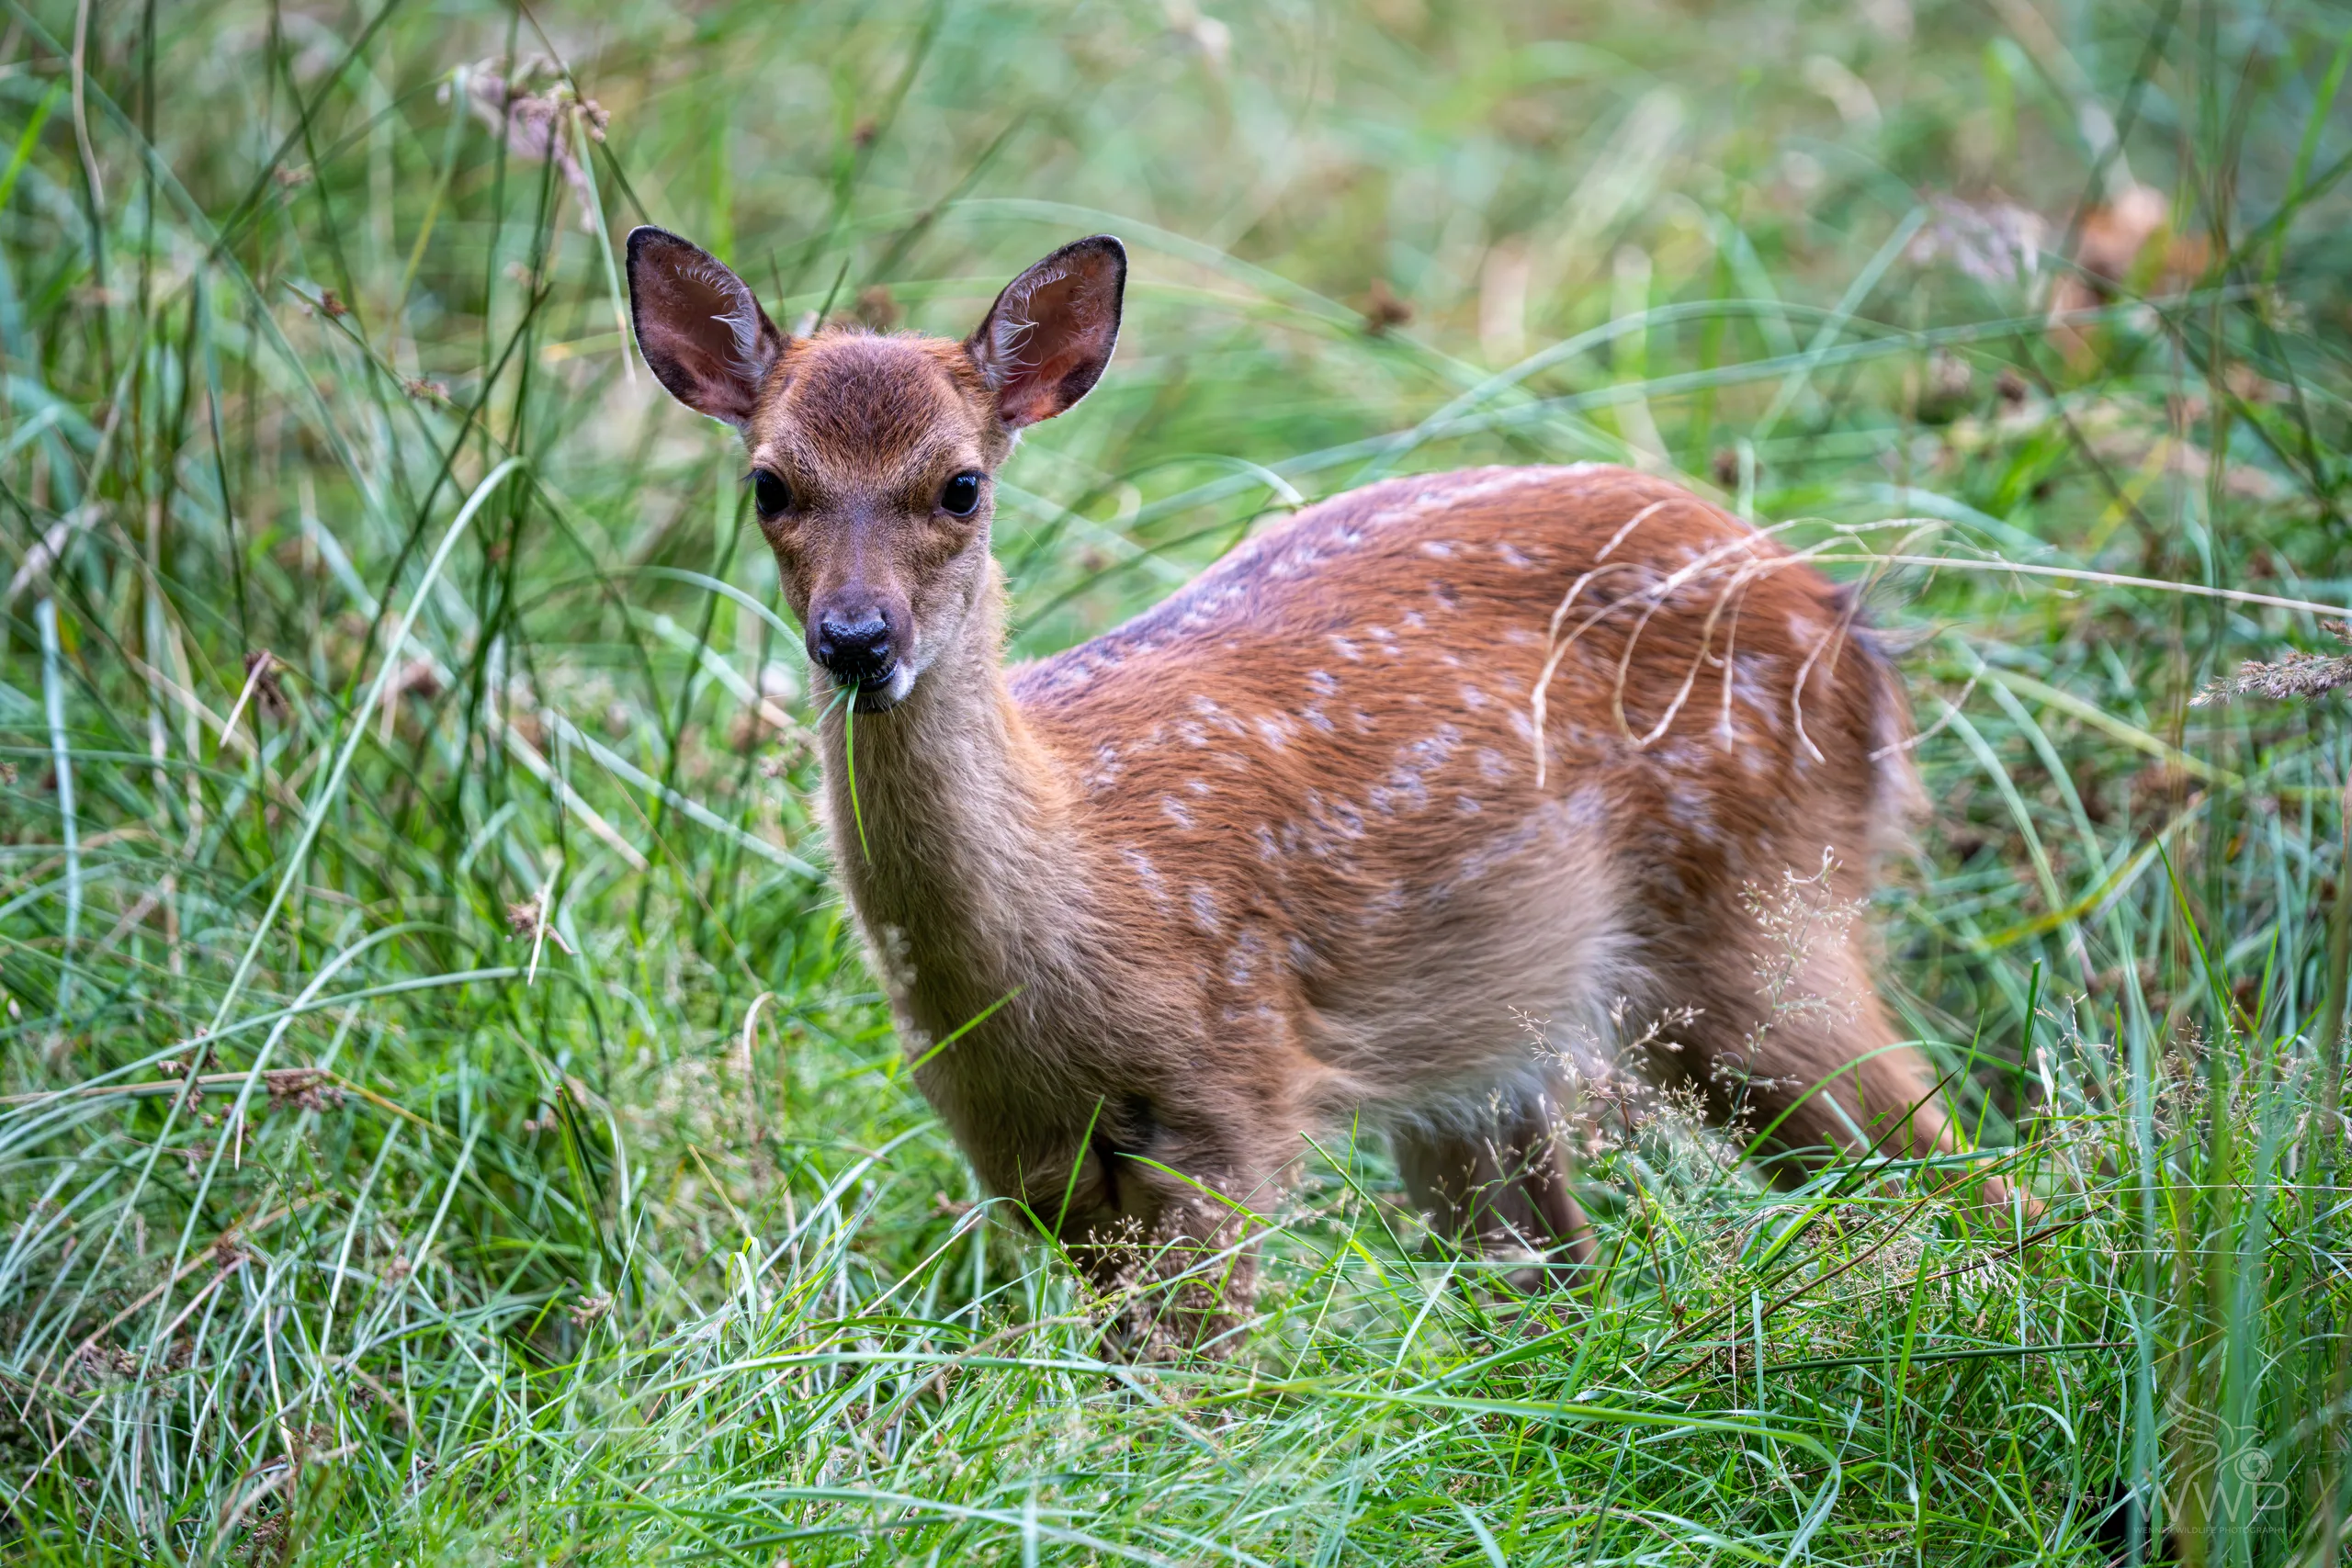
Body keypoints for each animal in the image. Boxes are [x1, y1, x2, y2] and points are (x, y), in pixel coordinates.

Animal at [625, 226, 2006, 1345]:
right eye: (770, 484)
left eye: (961, 483)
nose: (857, 639)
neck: (1074, 896)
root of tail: (1856, 633)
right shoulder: (1015, 1148)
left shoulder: (1231, 1094)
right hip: (1485, 1055)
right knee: (1556, 1271)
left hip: (1760, 917)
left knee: (1950, 1161)